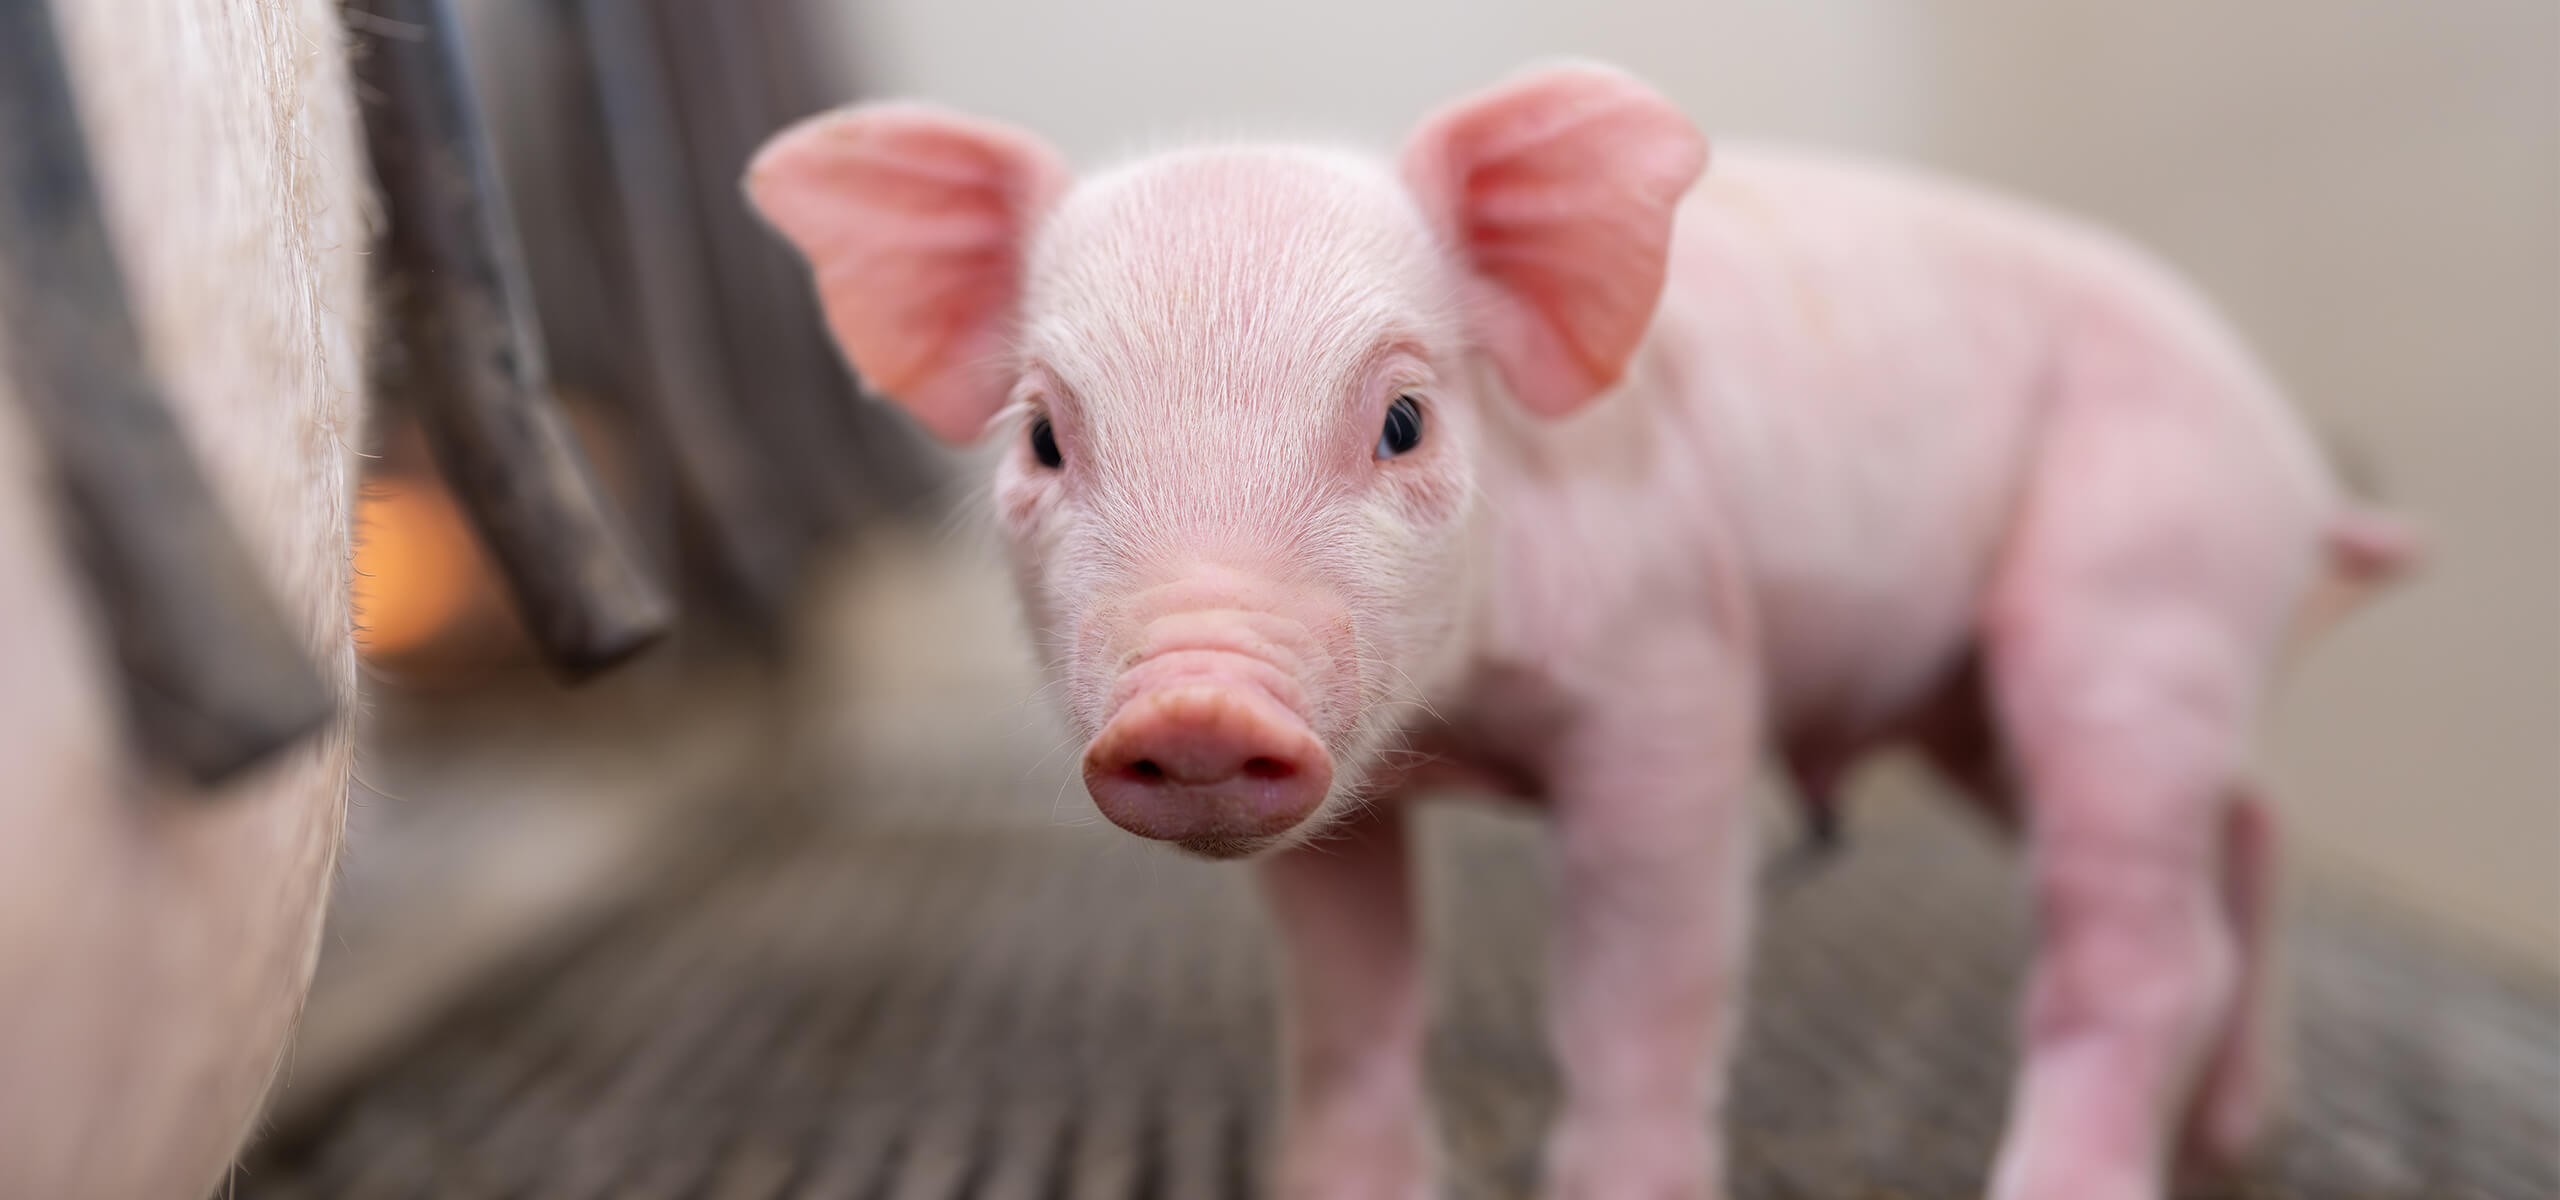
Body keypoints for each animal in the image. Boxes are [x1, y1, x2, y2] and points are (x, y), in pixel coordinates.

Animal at [747, 61, 2414, 1200]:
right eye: (1041, 438)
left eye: (1407, 420)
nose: (1198, 706)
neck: (1464, 719)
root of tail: (2297, 468)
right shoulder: (1343, 811)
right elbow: (1352, 1005)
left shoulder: (1673, 676)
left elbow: (1637, 997)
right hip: (1991, 704)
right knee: (2239, 841)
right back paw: (2238, 1130)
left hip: (2135, 596)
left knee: (2140, 945)